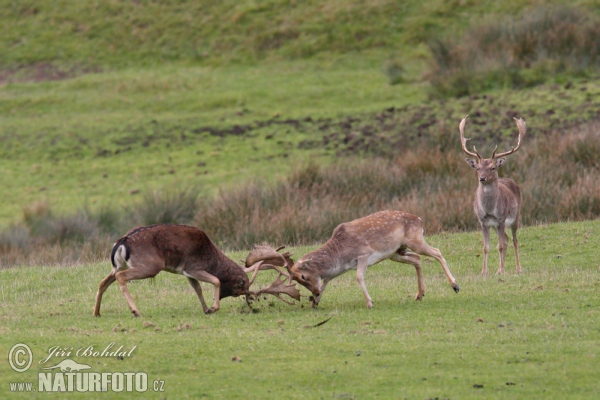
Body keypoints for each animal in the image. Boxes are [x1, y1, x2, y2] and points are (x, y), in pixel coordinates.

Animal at [94, 223, 300, 318]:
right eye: (239, 290)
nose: (220, 298)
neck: (212, 260)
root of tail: (121, 243)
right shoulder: (193, 267)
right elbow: (215, 280)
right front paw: (213, 307)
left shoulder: (187, 272)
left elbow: (198, 289)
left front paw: (206, 309)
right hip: (150, 266)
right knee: (121, 277)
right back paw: (135, 311)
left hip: (118, 264)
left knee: (104, 281)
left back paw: (97, 312)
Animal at [286, 211, 460, 308]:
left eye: (303, 276)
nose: (314, 293)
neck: (339, 256)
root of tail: (420, 220)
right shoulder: (337, 271)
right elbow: (326, 281)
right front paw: (315, 303)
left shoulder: (364, 255)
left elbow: (359, 277)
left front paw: (370, 303)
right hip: (396, 252)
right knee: (417, 259)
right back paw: (419, 294)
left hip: (415, 240)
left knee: (437, 252)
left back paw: (455, 286)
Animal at [460, 115, 524, 276]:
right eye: (477, 168)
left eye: (493, 167)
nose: (482, 178)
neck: (489, 210)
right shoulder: (483, 222)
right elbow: (486, 247)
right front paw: (484, 272)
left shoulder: (501, 219)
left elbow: (499, 246)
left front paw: (502, 271)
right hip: (496, 226)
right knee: (506, 240)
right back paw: (500, 269)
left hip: (515, 216)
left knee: (514, 240)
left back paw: (518, 268)